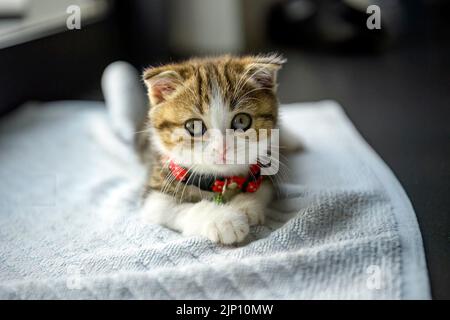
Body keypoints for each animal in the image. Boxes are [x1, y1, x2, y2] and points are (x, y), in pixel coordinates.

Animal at [138, 54, 284, 245]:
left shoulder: (266, 171)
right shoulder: (155, 193)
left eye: (242, 121)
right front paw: (223, 220)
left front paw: (244, 206)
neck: (218, 181)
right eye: (193, 126)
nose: (222, 148)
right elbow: (177, 208)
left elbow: (262, 188)